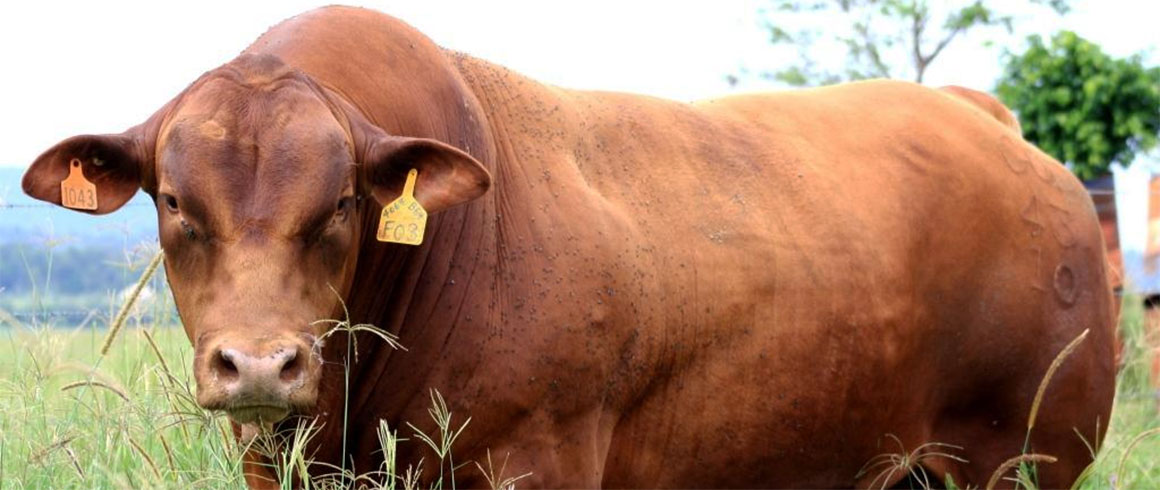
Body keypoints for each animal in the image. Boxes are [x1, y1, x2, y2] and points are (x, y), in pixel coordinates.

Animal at [22, 6, 1116, 488]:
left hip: (1022, 458)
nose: (259, 364)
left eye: (341, 202)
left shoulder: (533, 458)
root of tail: (984, 121)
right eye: (172, 199)